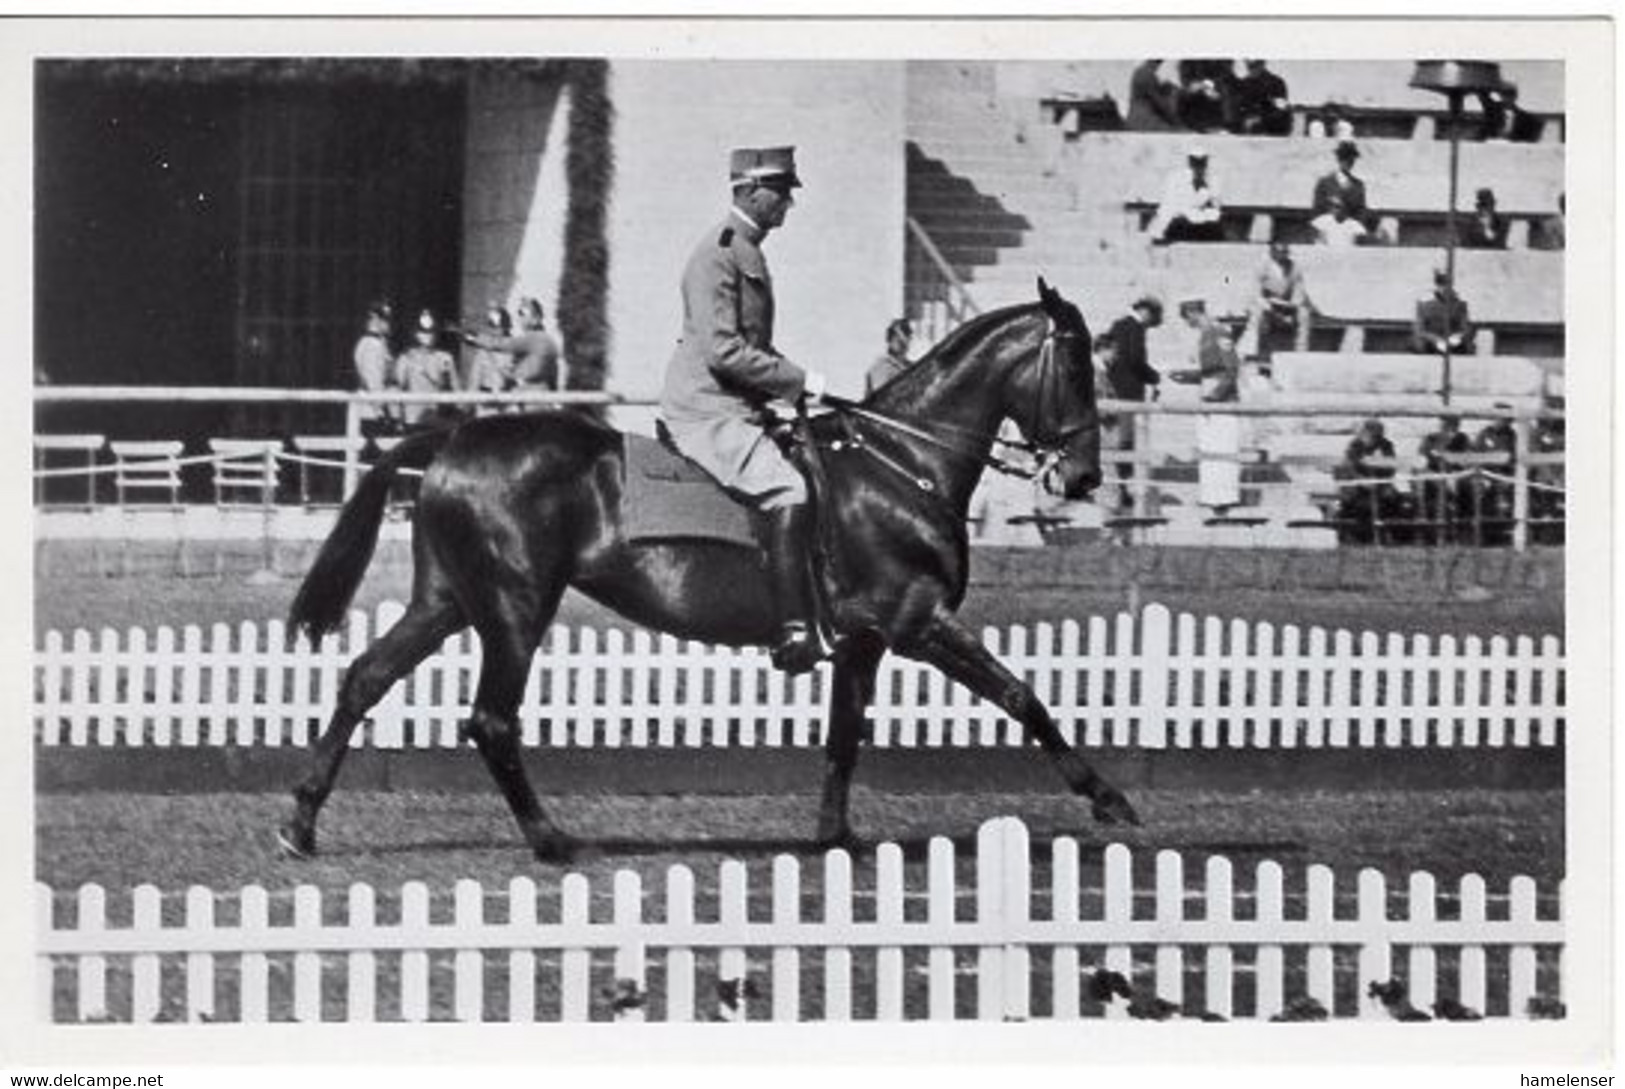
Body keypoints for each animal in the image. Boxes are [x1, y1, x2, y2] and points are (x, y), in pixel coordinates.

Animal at [279, 279, 1137, 864]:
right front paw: (1108, 798)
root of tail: (454, 439)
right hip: (515, 609)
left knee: (365, 676)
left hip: (450, 601)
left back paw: (301, 823)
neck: (900, 462)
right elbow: (1022, 696)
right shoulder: (918, 621)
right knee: (490, 719)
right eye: (1076, 368)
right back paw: (552, 839)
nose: (1085, 477)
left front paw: (835, 836)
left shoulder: (864, 640)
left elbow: (845, 735)